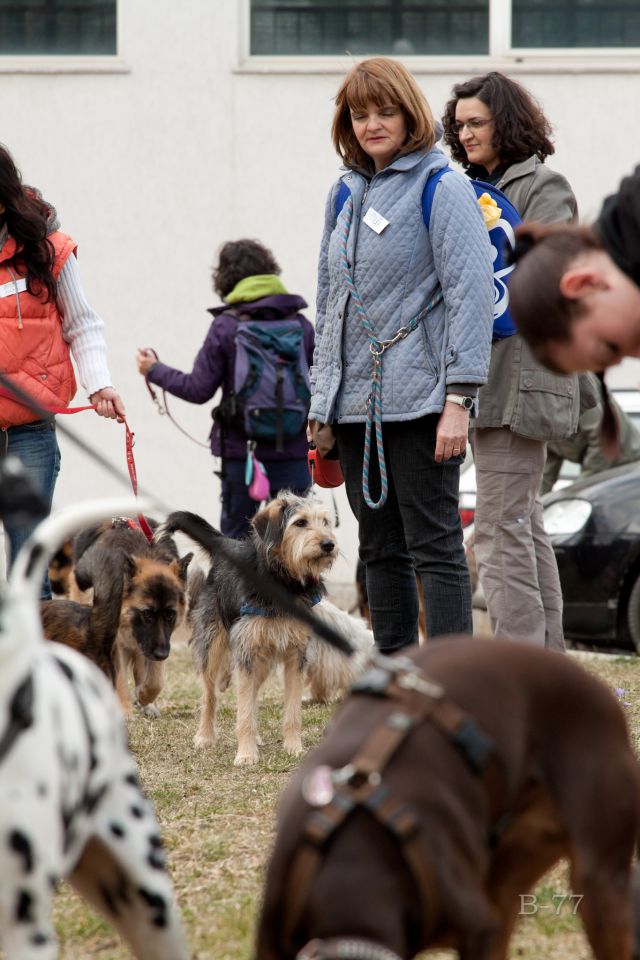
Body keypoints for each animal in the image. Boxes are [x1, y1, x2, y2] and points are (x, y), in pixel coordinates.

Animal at [0, 498, 188, 960]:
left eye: (171, 615)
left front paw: (147, 697)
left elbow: (152, 679)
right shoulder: (119, 632)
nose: (163, 649)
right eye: (147, 613)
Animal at [160, 496, 340, 764]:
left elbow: (291, 710)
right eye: (300, 522)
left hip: (261, 660)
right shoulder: (245, 652)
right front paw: (245, 755)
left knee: (252, 693)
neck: (282, 581)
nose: (329, 544)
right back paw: (205, 736)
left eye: (325, 522)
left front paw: (294, 747)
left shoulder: (296, 654)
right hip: (212, 647)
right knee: (209, 696)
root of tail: (226, 544)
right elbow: (242, 710)